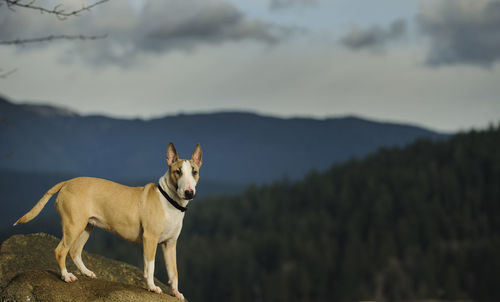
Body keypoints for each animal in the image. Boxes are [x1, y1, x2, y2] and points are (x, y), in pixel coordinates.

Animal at [14, 142, 201, 300]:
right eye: (177, 171)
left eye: (194, 171)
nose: (189, 192)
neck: (170, 201)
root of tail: (67, 182)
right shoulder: (150, 239)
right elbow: (150, 266)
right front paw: (152, 287)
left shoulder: (170, 244)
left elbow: (174, 272)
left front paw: (176, 293)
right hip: (73, 226)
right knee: (60, 250)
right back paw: (66, 276)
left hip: (86, 227)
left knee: (74, 251)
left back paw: (87, 273)